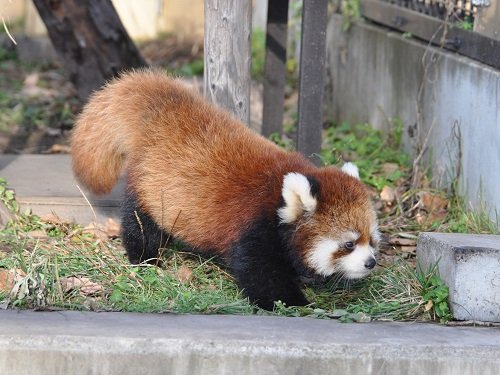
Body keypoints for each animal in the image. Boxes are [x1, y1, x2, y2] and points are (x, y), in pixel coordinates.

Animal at [71, 70, 378, 312]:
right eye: (349, 244)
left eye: (371, 240)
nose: (371, 263)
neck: (277, 203)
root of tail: (162, 114)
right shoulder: (253, 228)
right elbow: (260, 274)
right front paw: (295, 303)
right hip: (150, 189)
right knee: (141, 225)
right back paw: (146, 258)